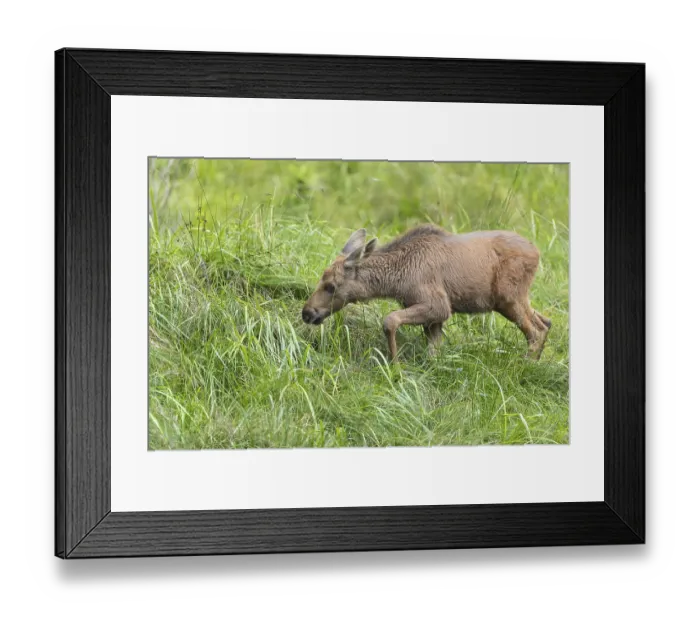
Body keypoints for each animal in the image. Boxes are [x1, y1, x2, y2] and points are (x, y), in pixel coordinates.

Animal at [302, 224, 551, 361]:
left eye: (331, 286)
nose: (307, 312)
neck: (396, 279)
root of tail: (538, 253)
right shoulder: (436, 317)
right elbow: (434, 352)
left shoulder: (438, 305)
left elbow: (390, 320)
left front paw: (395, 364)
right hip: (517, 300)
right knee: (546, 322)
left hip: (508, 299)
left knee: (535, 331)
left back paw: (525, 365)